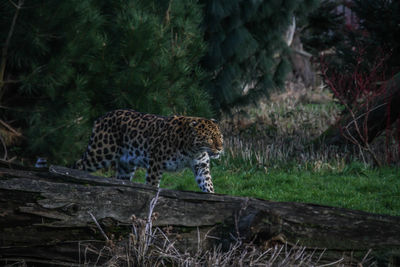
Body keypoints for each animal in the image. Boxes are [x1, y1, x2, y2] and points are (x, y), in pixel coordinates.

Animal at [74, 109, 223, 193]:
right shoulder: (156, 164)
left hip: (126, 165)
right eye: (210, 138)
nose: (220, 148)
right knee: (79, 164)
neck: (193, 151)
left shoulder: (201, 167)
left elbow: (208, 185)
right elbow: (152, 186)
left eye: (220, 136)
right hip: (101, 152)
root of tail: (102, 117)